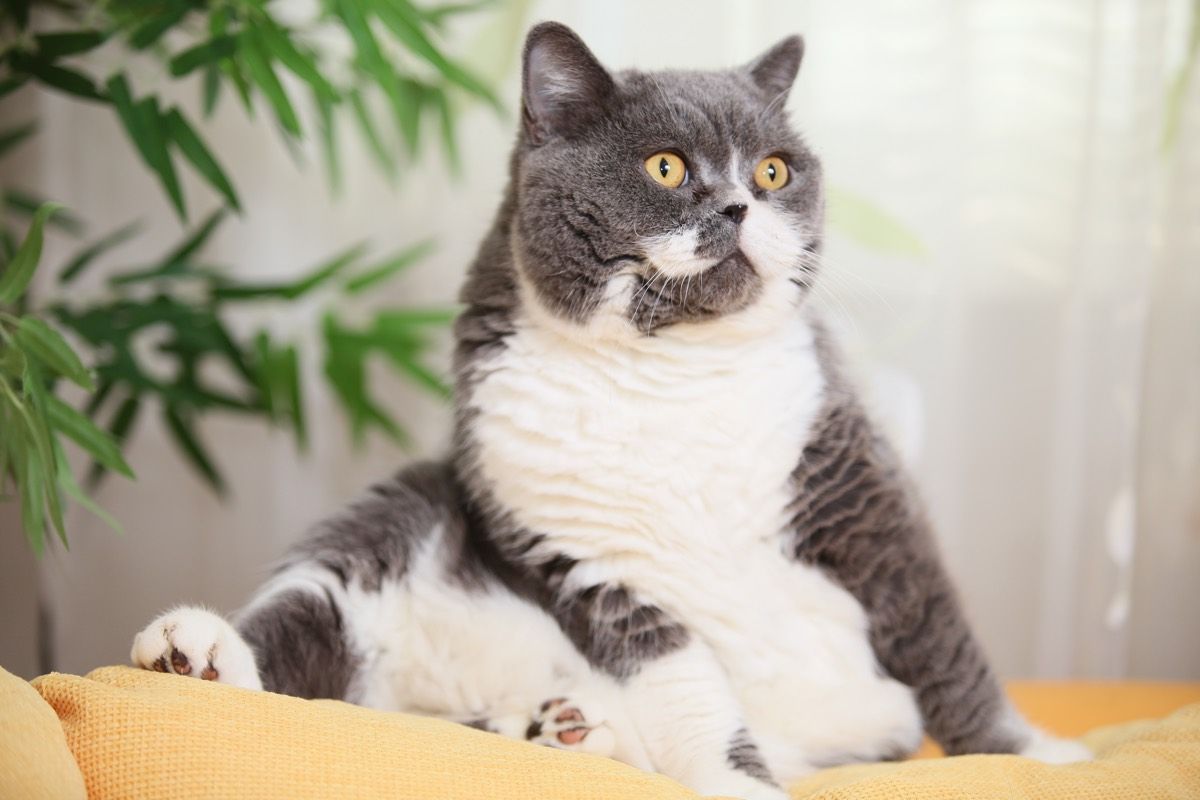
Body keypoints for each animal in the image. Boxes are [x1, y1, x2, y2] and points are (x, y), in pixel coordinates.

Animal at [129, 18, 1089, 800]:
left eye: (773, 170)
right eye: (666, 166)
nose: (739, 203)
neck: (670, 374)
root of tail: (422, 701)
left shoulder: (868, 502)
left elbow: (946, 648)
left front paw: (1037, 756)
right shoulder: (588, 560)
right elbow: (686, 684)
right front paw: (738, 785)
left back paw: (563, 727)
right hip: (387, 526)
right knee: (301, 641)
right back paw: (194, 656)